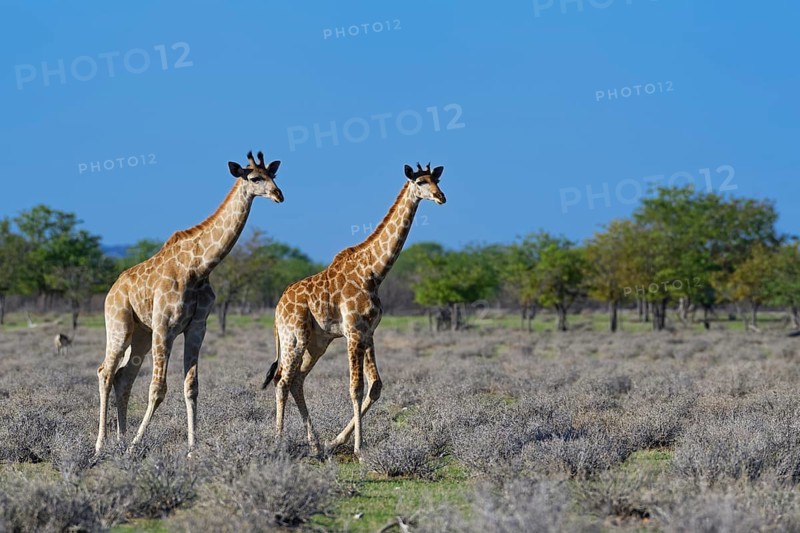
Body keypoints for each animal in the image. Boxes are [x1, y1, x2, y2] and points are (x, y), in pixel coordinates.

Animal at [95, 151, 284, 454]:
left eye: (274, 175)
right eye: (255, 178)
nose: (279, 195)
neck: (199, 267)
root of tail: (113, 288)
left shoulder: (196, 327)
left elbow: (191, 386)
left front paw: (192, 447)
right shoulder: (165, 327)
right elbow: (158, 388)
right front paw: (137, 442)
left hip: (141, 334)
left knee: (123, 377)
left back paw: (120, 440)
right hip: (119, 325)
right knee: (105, 372)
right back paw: (102, 444)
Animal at [262, 163, 446, 459]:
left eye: (437, 180)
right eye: (420, 182)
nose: (441, 197)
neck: (374, 271)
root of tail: (278, 308)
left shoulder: (368, 333)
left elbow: (376, 387)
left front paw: (336, 441)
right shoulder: (353, 332)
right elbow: (356, 388)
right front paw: (359, 449)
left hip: (317, 343)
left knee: (297, 380)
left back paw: (315, 444)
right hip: (295, 337)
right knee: (282, 381)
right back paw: (278, 443)